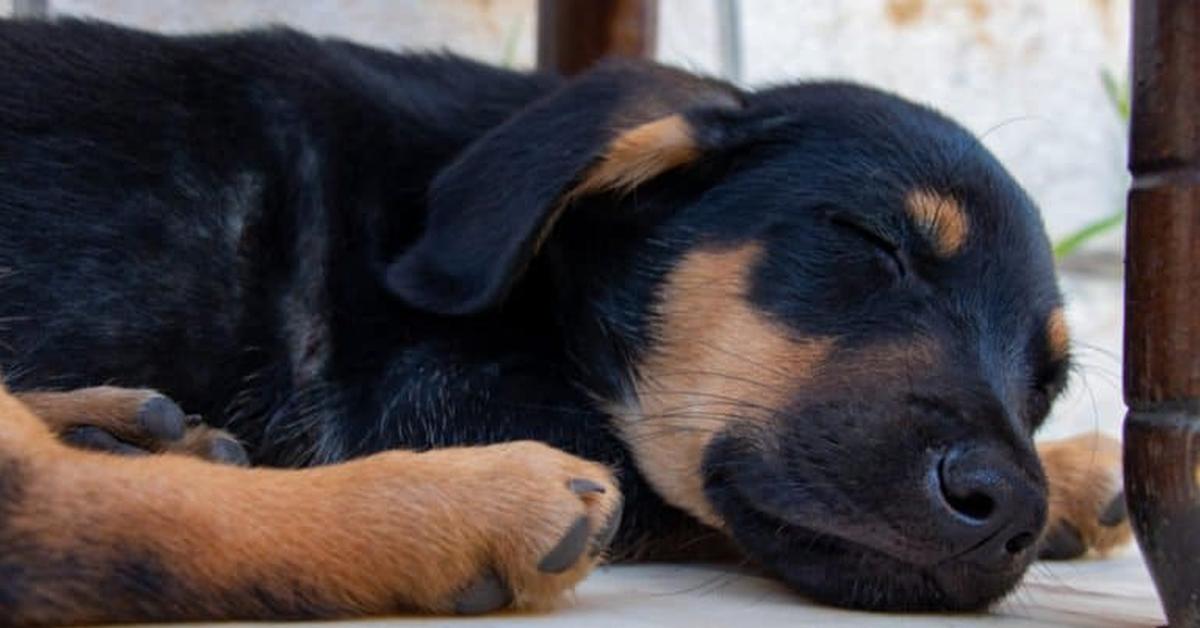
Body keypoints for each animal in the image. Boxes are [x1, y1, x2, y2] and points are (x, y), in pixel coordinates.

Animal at [0, 18, 1123, 624]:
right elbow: (674, 492)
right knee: (72, 520)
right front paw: (1079, 476)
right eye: (872, 242)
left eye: (1045, 385)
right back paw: (474, 508)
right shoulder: (432, 393)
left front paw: (1078, 475)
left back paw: (128, 426)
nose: (1009, 508)